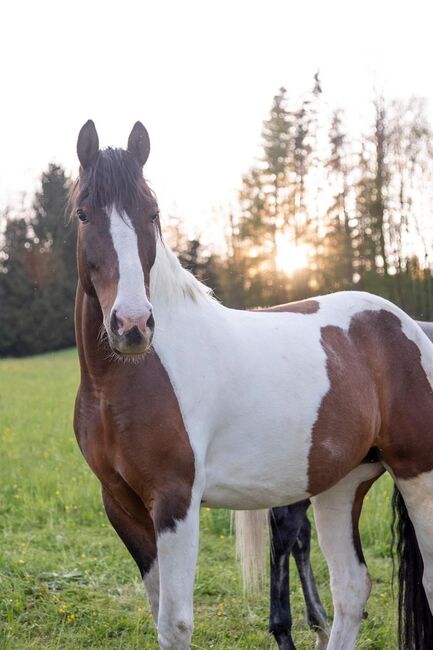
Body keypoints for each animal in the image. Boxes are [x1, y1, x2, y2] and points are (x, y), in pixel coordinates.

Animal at [70, 116, 433, 648]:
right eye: (83, 214)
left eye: (151, 214)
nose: (132, 325)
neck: (127, 380)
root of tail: (405, 325)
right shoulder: (121, 504)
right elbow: (159, 615)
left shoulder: (176, 502)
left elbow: (175, 623)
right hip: (342, 483)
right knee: (352, 588)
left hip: (417, 473)